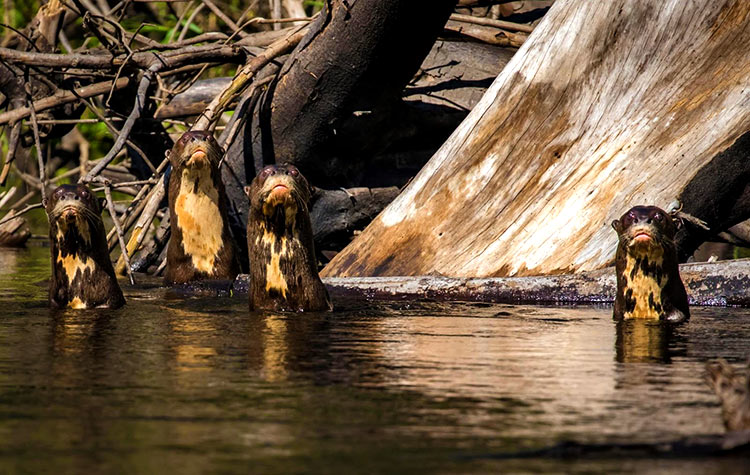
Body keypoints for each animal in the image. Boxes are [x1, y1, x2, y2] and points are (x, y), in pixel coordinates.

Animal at [164, 130, 241, 284]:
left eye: (210, 138)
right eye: (185, 139)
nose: (199, 137)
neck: (201, 249)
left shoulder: (226, 265)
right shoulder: (177, 269)